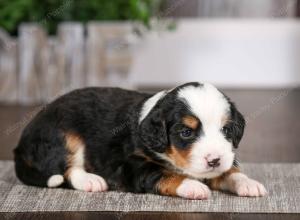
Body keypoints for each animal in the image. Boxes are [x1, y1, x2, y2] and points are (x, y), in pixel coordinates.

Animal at [14, 82, 268, 199]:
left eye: (226, 130)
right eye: (186, 132)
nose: (214, 160)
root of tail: (20, 145)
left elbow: (230, 171)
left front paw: (247, 183)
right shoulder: (132, 164)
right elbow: (163, 173)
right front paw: (192, 185)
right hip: (64, 136)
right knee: (68, 169)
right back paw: (90, 180)